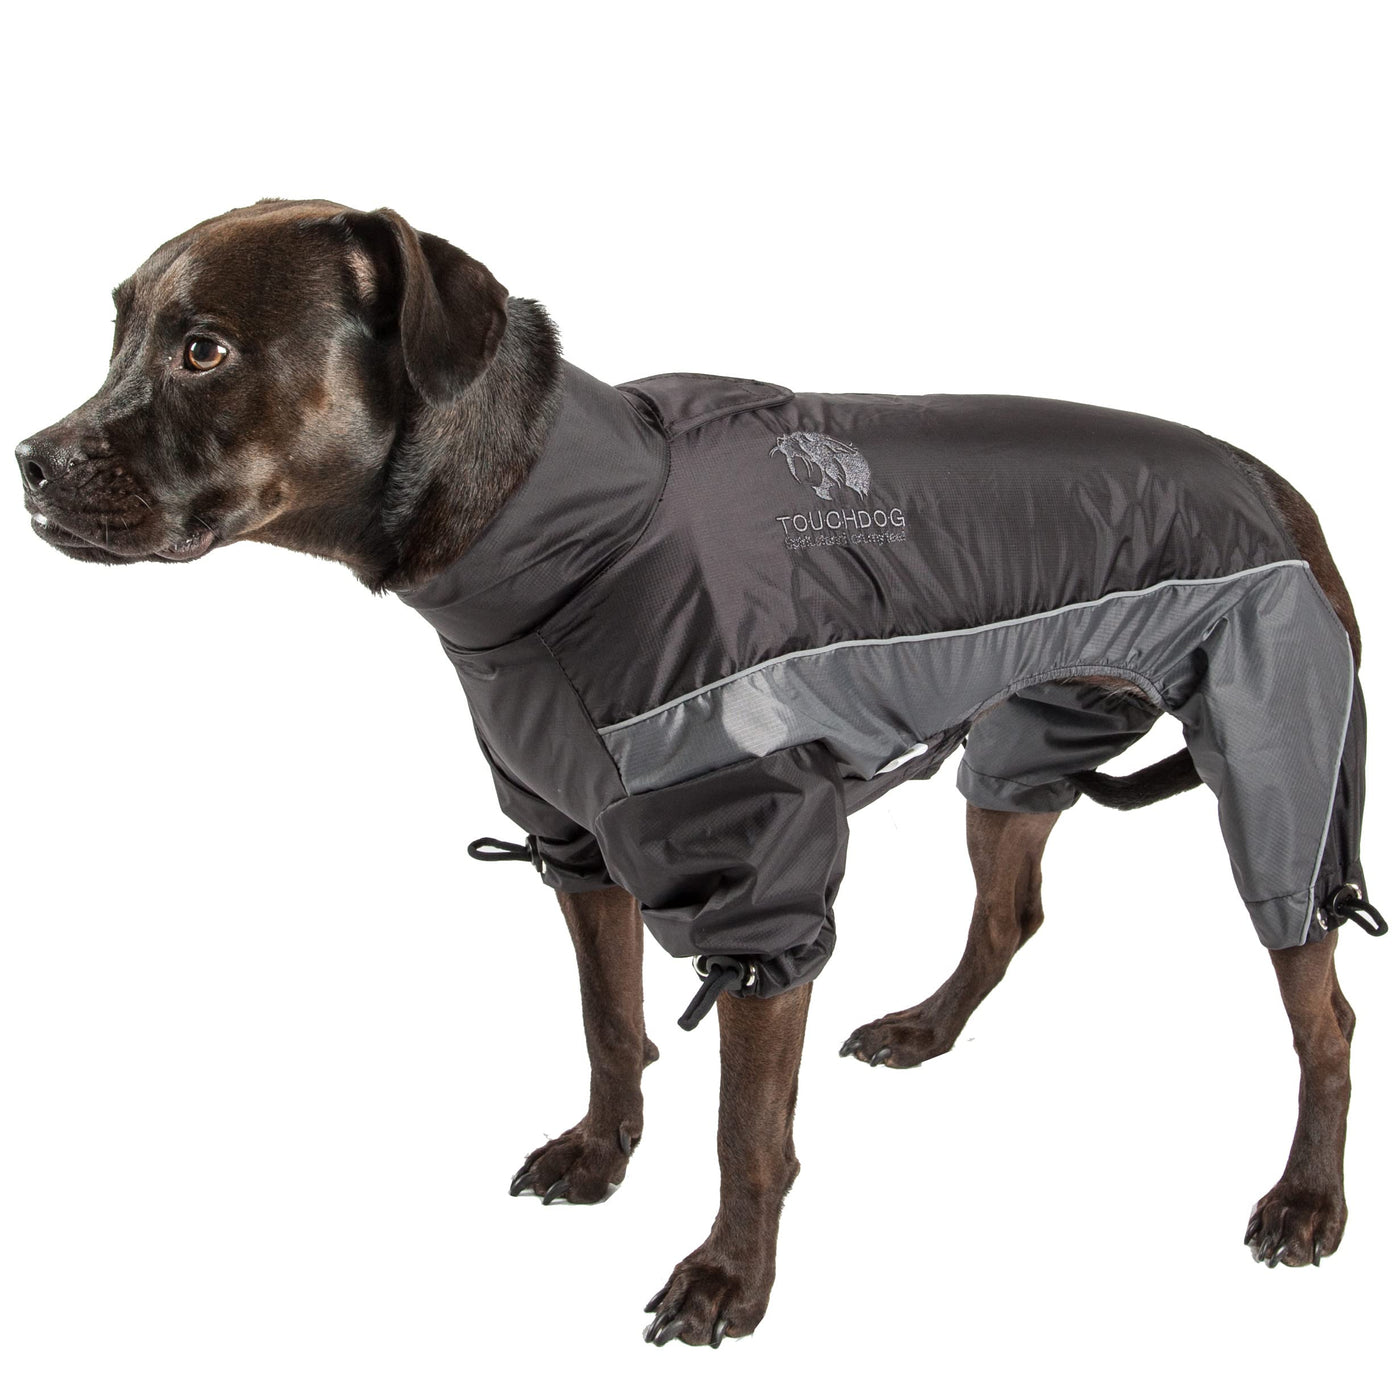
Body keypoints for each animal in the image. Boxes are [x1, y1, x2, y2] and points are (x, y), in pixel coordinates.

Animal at [17, 199, 1385, 1348]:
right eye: (120, 330)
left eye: (204, 350)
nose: (29, 459)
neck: (563, 535)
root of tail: (1278, 481)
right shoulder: (577, 848)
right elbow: (608, 1025)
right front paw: (599, 1153)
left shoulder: (756, 892)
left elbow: (746, 1127)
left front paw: (729, 1275)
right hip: (1019, 744)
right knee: (1009, 911)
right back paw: (925, 1026)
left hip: (1278, 751)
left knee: (1322, 1002)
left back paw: (1306, 1197)